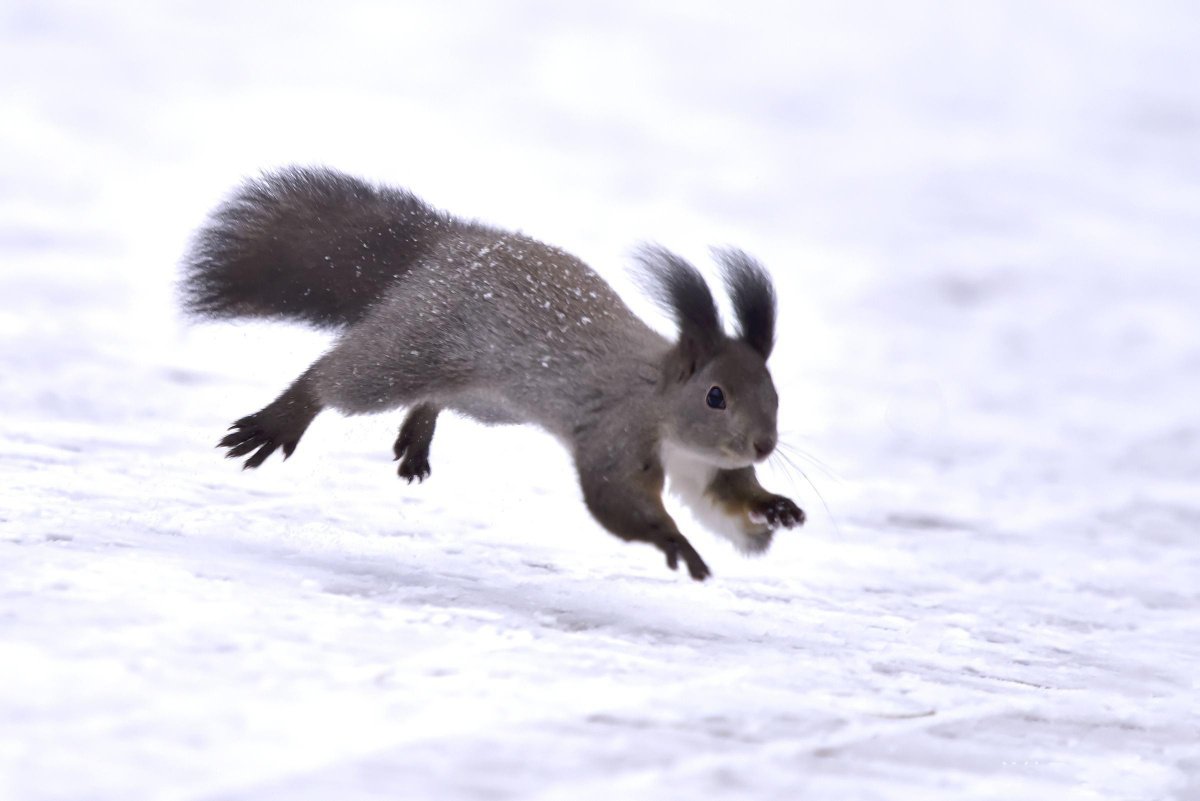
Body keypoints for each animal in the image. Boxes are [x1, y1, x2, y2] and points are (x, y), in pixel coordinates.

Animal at [182, 167, 806, 582]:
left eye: (775, 393)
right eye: (715, 396)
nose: (762, 444)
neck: (662, 405)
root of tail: (445, 244)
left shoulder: (702, 469)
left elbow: (721, 503)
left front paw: (773, 507)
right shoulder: (616, 434)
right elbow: (616, 500)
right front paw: (672, 539)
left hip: (485, 398)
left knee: (431, 396)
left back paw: (417, 437)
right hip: (420, 344)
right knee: (340, 377)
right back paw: (280, 421)